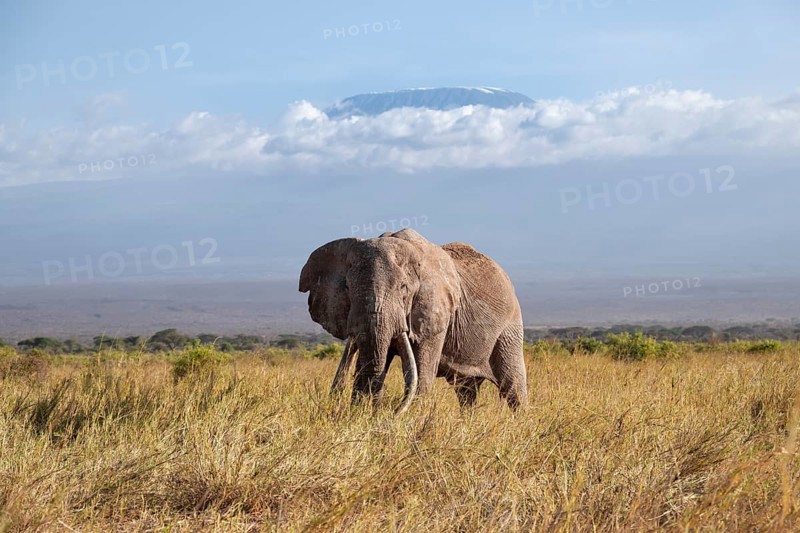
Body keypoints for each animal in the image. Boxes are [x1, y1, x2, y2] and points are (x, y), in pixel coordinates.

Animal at [299, 229, 527, 413]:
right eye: (347, 287)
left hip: (510, 327)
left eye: (403, 288)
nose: (381, 411)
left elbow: (421, 371)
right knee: (465, 391)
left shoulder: (434, 314)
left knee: (513, 387)